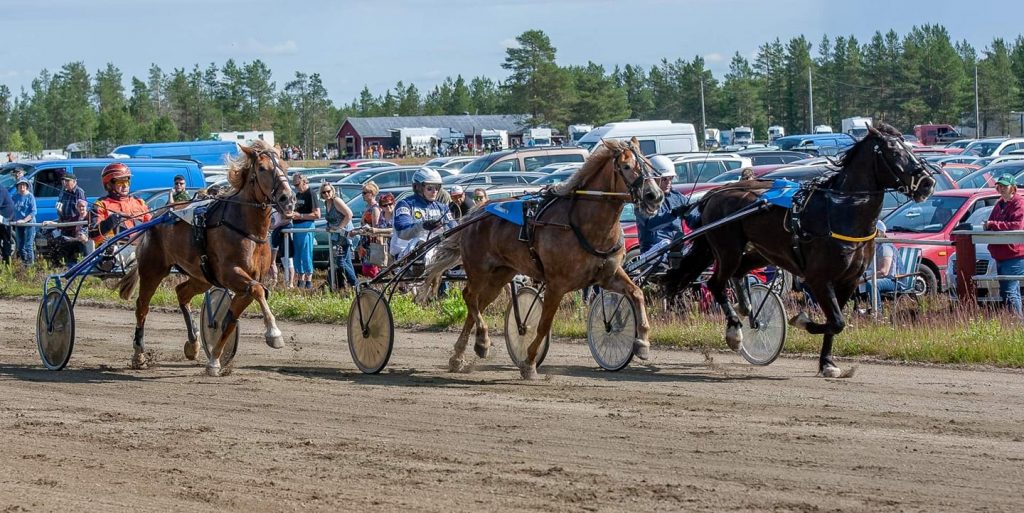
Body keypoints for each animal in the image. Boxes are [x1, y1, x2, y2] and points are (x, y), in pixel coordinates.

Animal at [119, 141, 299, 376]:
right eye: (262, 168)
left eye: (285, 166)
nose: (288, 198)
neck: (246, 228)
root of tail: (156, 216)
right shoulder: (230, 274)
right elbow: (258, 291)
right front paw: (274, 334)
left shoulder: (247, 281)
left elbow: (231, 318)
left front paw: (214, 359)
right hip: (153, 269)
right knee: (142, 306)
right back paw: (139, 354)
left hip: (201, 277)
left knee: (182, 293)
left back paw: (193, 344)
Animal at [421, 138, 667, 378]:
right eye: (626, 167)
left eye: (648, 164)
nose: (654, 196)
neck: (584, 224)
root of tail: (478, 212)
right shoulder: (556, 285)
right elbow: (544, 324)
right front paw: (529, 363)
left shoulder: (608, 275)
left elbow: (637, 293)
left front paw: (642, 342)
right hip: (479, 270)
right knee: (470, 296)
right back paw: (482, 341)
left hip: (499, 276)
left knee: (478, 305)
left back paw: (460, 355)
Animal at [663, 123, 937, 376]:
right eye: (893, 151)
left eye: (909, 147)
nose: (927, 183)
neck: (838, 211)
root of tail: (713, 194)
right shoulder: (818, 279)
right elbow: (836, 321)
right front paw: (802, 320)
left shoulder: (849, 280)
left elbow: (835, 322)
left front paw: (827, 363)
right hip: (727, 249)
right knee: (716, 283)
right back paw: (735, 331)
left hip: (763, 252)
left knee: (739, 273)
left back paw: (748, 309)